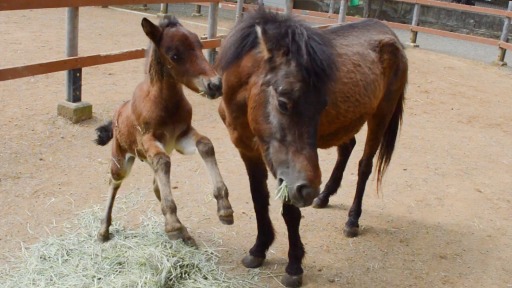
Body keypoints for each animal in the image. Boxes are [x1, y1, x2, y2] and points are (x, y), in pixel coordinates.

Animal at [94, 15, 234, 245]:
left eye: (200, 45)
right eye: (174, 55)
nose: (215, 85)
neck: (165, 104)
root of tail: (117, 113)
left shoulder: (181, 138)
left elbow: (206, 145)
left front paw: (224, 209)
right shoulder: (148, 141)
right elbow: (163, 161)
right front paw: (173, 225)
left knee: (156, 185)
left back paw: (186, 233)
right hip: (121, 158)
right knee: (114, 181)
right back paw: (103, 230)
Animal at [216, 7, 408, 286]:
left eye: (322, 105)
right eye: (283, 102)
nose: (309, 190)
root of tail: (389, 32)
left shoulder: (288, 171)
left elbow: (290, 211)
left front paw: (294, 265)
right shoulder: (248, 152)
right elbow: (259, 199)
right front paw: (259, 249)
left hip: (380, 116)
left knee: (364, 166)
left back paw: (352, 220)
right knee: (347, 148)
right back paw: (324, 196)